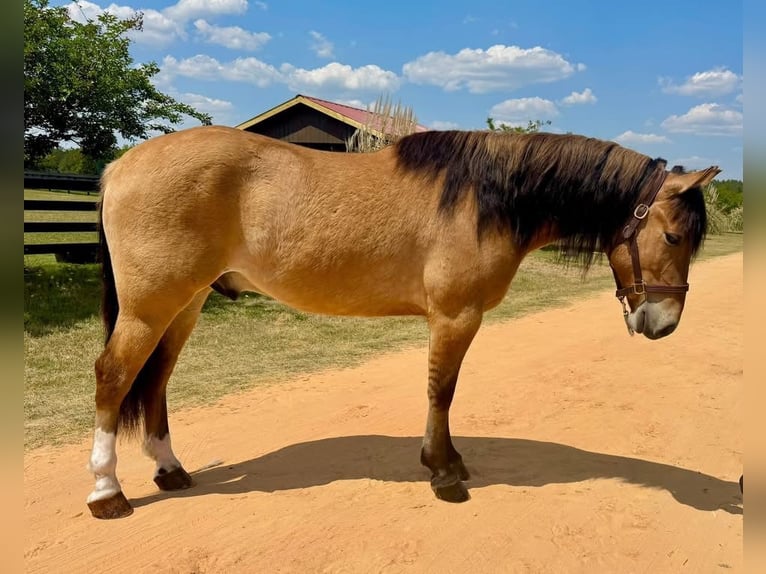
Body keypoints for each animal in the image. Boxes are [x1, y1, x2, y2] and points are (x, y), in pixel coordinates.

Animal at [86, 125, 716, 519]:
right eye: (672, 236)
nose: (664, 323)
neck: (486, 199)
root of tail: (120, 166)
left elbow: (446, 393)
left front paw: (451, 462)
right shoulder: (455, 316)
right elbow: (442, 391)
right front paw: (442, 474)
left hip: (185, 305)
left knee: (156, 382)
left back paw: (170, 470)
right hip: (151, 307)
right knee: (114, 378)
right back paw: (106, 492)